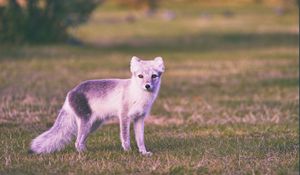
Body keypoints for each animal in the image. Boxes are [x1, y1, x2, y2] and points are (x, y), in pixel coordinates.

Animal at [29, 56, 165, 156]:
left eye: (154, 76)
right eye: (140, 76)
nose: (147, 86)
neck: (138, 96)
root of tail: (71, 92)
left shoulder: (140, 118)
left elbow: (140, 139)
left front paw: (143, 153)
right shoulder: (124, 116)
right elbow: (125, 137)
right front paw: (128, 152)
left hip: (93, 125)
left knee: (80, 141)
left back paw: (87, 151)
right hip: (86, 122)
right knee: (77, 142)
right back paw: (85, 154)